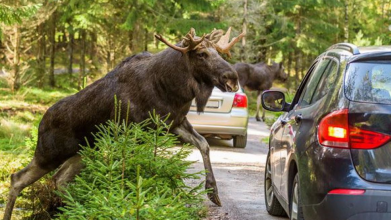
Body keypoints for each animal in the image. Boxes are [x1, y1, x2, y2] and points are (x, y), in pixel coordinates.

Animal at [2, 27, 245, 220]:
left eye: (218, 52)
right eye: (202, 54)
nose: (232, 78)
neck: (171, 89)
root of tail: (40, 124)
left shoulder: (174, 123)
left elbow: (204, 144)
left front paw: (213, 192)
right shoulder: (137, 129)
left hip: (82, 152)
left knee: (58, 179)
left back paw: (80, 207)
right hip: (49, 154)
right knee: (17, 178)